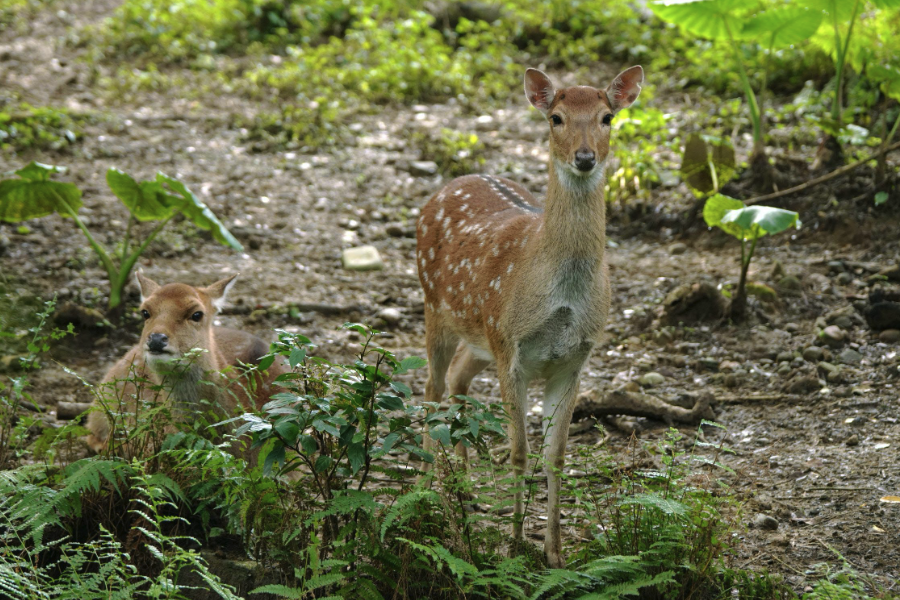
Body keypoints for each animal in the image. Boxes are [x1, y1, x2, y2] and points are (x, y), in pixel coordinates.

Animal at [418, 65, 644, 568]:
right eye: (556, 118)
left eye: (608, 118)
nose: (585, 157)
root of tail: (449, 183)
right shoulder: (514, 353)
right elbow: (520, 452)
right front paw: (515, 544)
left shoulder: (573, 358)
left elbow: (555, 455)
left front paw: (555, 553)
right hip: (436, 306)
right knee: (431, 388)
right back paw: (427, 483)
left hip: (483, 333)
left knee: (458, 377)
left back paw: (464, 482)